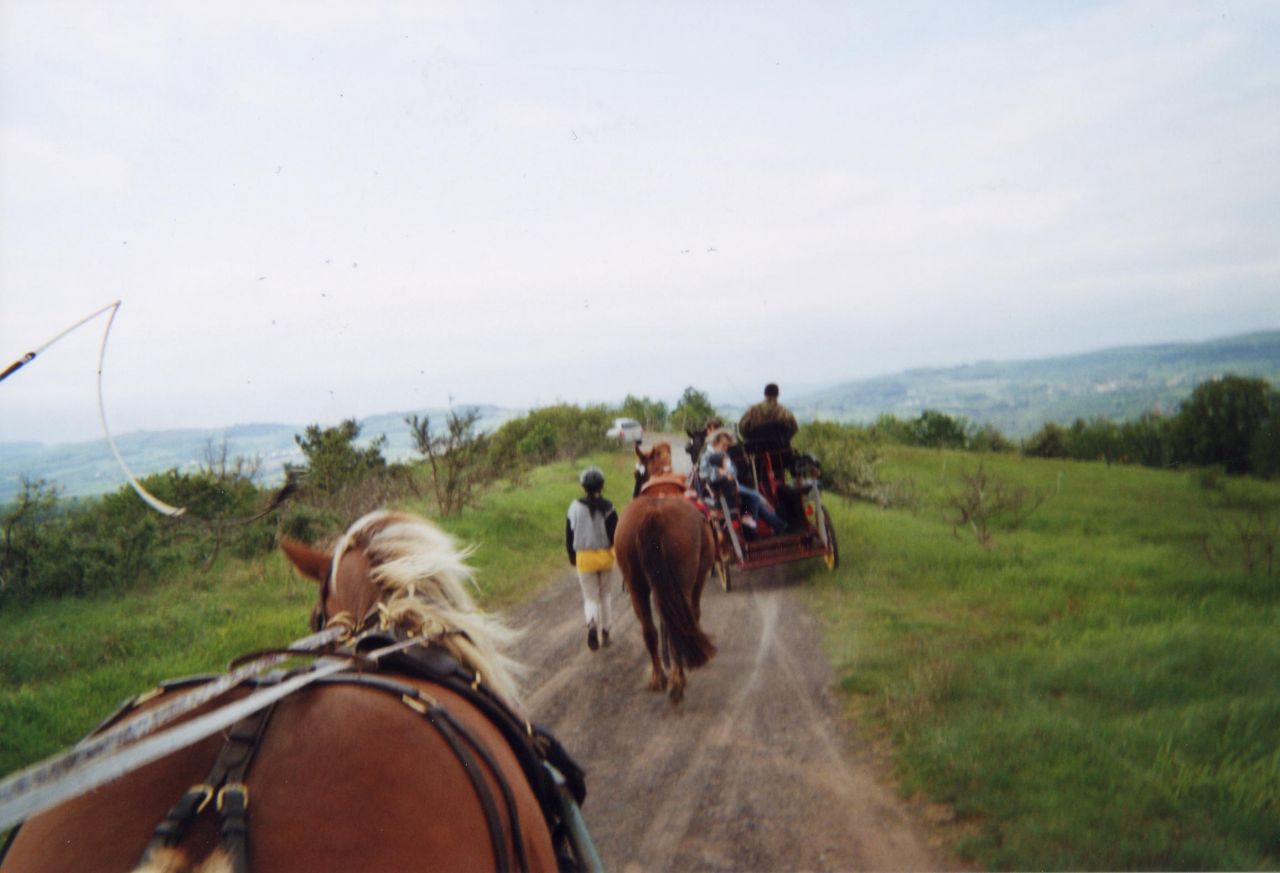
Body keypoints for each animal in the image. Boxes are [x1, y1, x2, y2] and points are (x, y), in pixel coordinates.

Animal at [615, 444, 718, 703]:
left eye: (636, 473)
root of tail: (654, 516)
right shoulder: (697, 581)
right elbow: (693, 615)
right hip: (683, 584)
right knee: (679, 627)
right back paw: (678, 682)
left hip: (637, 586)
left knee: (649, 630)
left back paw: (659, 677)